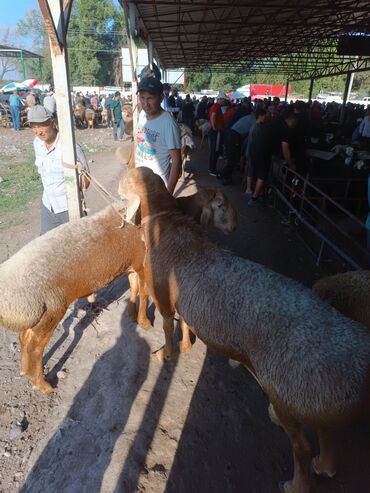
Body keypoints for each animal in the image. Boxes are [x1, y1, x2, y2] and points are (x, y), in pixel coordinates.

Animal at [119, 165, 370, 492]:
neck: (167, 219)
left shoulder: (163, 294)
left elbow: (165, 325)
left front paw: (168, 354)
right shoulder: (183, 298)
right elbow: (185, 321)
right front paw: (186, 345)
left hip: (286, 393)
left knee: (302, 446)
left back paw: (296, 484)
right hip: (313, 399)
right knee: (327, 434)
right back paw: (324, 466)